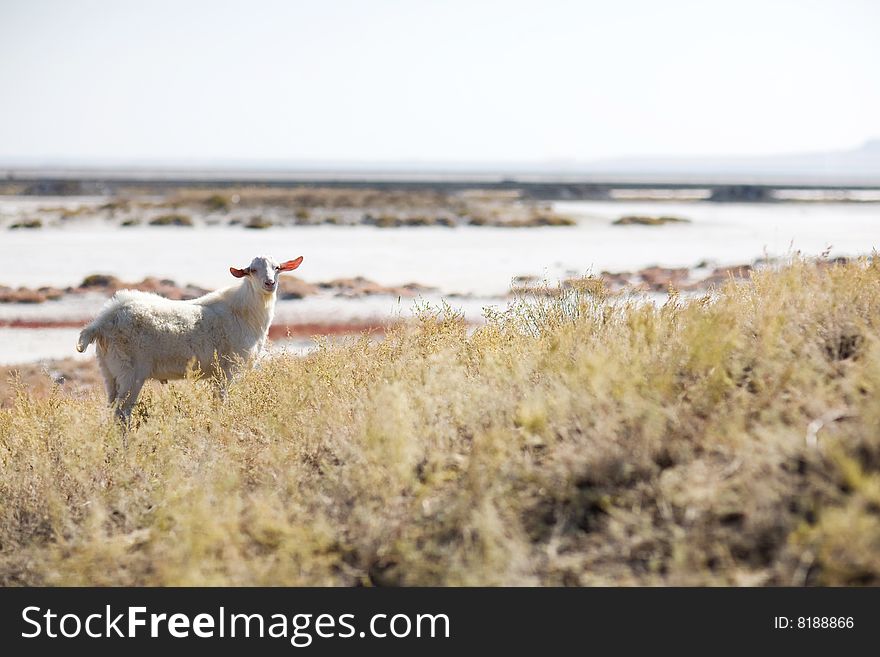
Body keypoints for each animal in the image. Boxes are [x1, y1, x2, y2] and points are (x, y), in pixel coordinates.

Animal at [76, 254, 302, 418]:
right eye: (252, 270)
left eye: (277, 268)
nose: (269, 283)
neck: (243, 312)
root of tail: (102, 321)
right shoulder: (229, 369)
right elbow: (222, 402)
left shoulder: (217, 374)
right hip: (130, 372)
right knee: (122, 413)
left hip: (109, 371)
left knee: (112, 409)